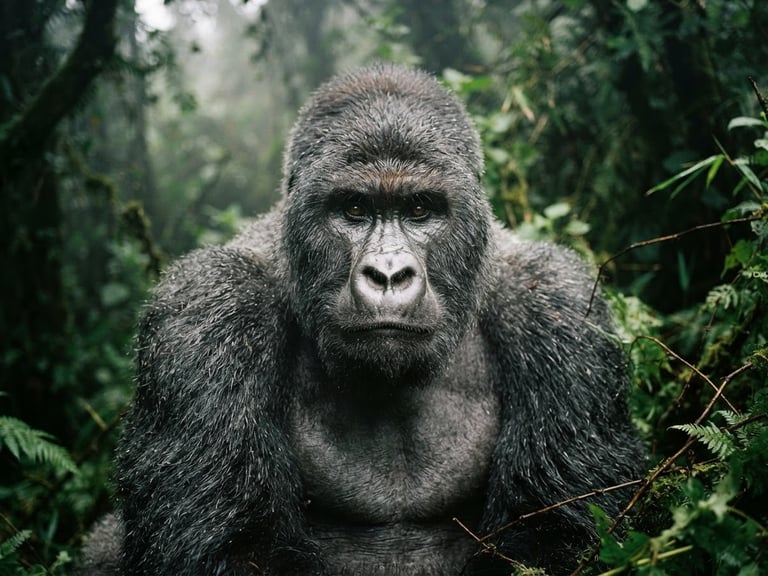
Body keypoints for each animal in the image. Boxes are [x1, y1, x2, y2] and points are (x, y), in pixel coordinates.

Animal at [79, 63, 643, 575]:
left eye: (420, 209)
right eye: (353, 209)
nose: (388, 275)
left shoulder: (560, 304)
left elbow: (557, 535)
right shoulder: (205, 308)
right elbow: (232, 550)